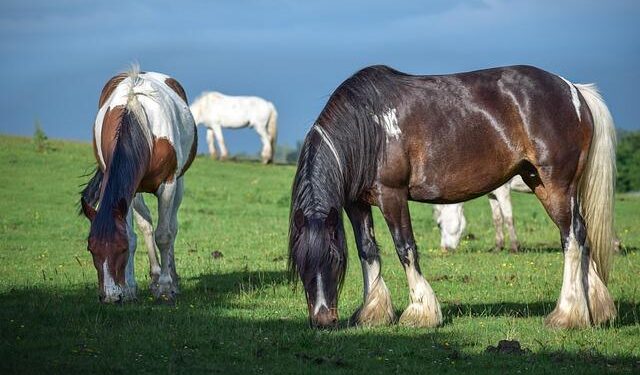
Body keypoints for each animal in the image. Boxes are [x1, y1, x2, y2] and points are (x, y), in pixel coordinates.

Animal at [80, 67, 196, 302]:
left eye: (121, 249)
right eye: (91, 249)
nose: (110, 296)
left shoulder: (168, 184)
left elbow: (164, 235)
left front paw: (165, 287)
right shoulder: (129, 193)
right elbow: (135, 234)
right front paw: (129, 288)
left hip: (179, 184)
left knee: (172, 226)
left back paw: (172, 279)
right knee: (147, 226)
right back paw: (154, 276)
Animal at [288, 66, 616, 330]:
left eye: (334, 260)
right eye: (301, 263)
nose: (323, 320)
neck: (369, 127)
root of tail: (574, 90)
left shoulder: (392, 195)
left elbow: (405, 248)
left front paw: (420, 313)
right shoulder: (357, 203)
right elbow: (367, 251)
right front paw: (372, 313)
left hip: (557, 184)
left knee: (571, 238)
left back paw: (567, 315)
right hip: (541, 183)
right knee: (582, 234)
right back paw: (596, 309)